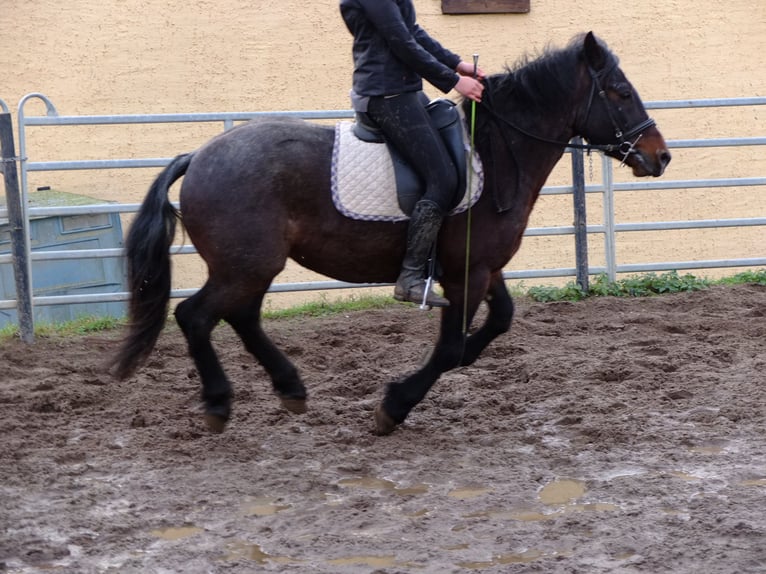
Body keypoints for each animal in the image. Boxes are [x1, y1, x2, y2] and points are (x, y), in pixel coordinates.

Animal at [112, 31, 672, 436]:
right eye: (621, 92)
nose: (661, 156)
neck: (496, 151)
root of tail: (199, 156)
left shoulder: (479, 267)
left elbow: (499, 322)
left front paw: (453, 364)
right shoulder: (467, 274)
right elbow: (448, 349)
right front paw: (394, 406)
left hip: (251, 267)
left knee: (240, 318)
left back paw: (290, 389)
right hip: (246, 265)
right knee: (196, 317)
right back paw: (219, 404)